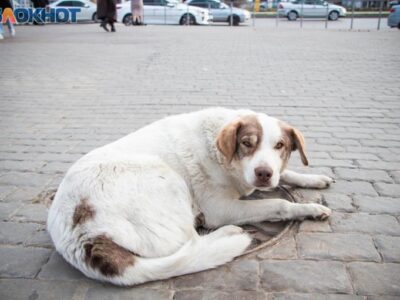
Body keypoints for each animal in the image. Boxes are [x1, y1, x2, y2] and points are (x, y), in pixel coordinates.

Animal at [48, 108, 332, 286]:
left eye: (280, 146)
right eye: (247, 144)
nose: (263, 173)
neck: (223, 157)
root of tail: (81, 236)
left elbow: (287, 174)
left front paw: (314, 179)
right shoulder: (221, 207)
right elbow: (279, 203)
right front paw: (307, 208)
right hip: (167, 178)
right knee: (193, 241)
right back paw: (229, 234)